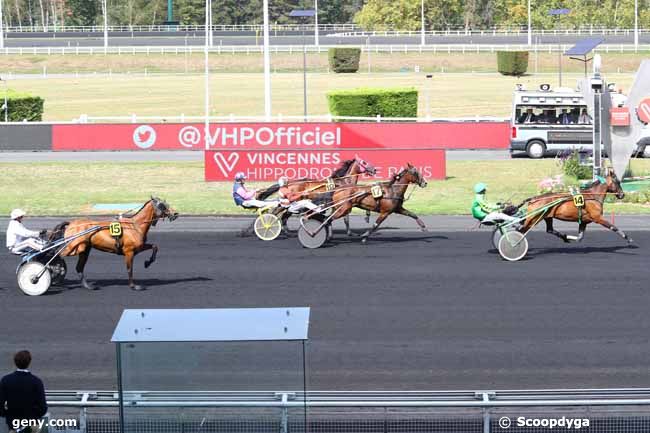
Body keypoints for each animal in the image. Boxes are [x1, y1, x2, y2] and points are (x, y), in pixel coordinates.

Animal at [49, 197, 178, 292]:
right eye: (162, 205)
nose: (175, 213)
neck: (135, 225)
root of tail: (71, 224)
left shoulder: (138, 247)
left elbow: (155, 247)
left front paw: (148, 262)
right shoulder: (129, 251)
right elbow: (129, 268)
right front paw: (134, 286)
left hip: (84, 249)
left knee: (79, 267)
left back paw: (88, 286)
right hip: (73, 247)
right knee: (57, 255)